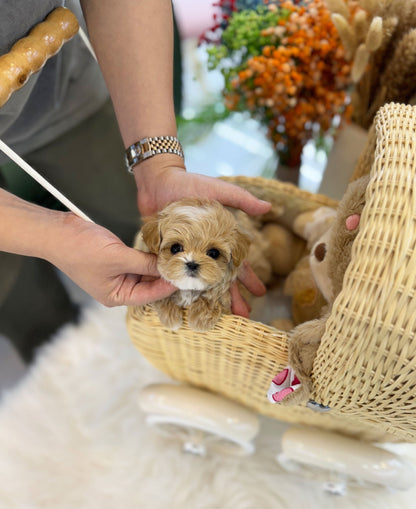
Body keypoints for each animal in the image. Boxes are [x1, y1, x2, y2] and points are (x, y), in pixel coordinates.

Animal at [139, 196, 250, 332]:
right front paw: (171, 318)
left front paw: (200, 319)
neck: (190, 288)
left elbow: (214, 295)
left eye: (214, 253)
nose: (192, 264)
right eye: (175, 248)